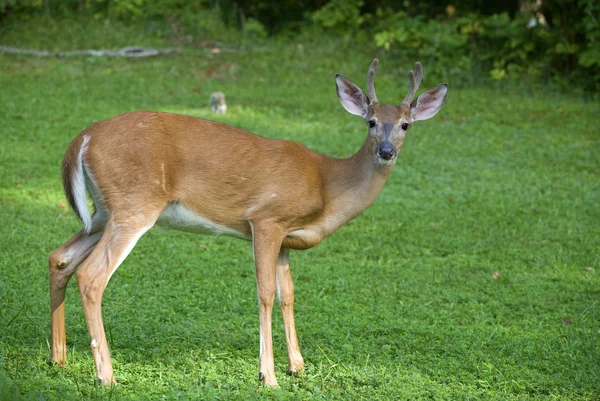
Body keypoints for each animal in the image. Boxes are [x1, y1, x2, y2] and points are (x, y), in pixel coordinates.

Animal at [49, 58, 448, 384]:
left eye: (406, 125)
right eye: (371, 122)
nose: (386, 151)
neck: (327, 183)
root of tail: (83, 137)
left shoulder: (287, 238)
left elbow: (288, 294)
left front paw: (297, 366)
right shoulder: (267, 219)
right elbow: (265, 293)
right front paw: (267, 375)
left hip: (103, 211)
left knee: (60, 258)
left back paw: (59, 358)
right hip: (135, 203)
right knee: (92, 275)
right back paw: (106, 376)